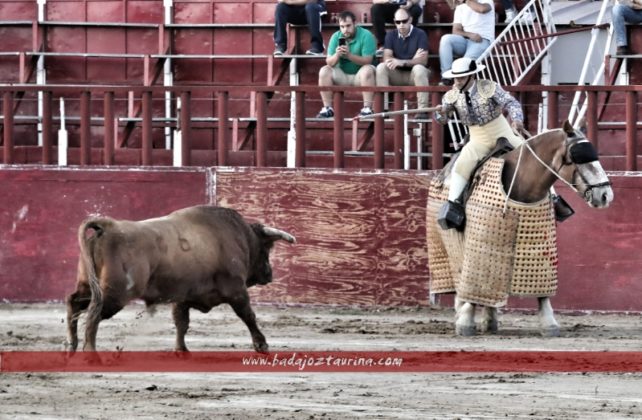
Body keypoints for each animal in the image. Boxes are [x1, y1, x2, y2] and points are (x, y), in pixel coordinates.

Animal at [65, 203, 296, 352]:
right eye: (266, 249)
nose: (270, 274)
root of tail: (109, 226)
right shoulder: (236, 290)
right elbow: (248, 315)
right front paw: (261, 344)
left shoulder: (182, 296)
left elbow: (181, 322)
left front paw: (181, 349)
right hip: (116, 294)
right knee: (93, 314)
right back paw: (90, 351)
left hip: (88, 286)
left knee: (74, 303)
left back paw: (71, 345)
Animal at [428, 120, 612, 336]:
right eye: (577, 156)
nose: (606, 195)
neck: (524, 184)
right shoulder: (479, 246)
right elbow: (473, 284)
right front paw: (465, 322)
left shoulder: (540, 248)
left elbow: (542, 291)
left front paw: (549, 323)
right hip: (442, 246)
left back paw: (490, 322)